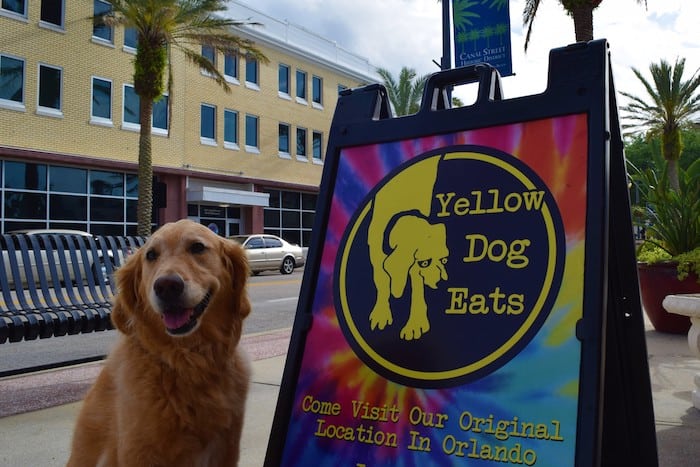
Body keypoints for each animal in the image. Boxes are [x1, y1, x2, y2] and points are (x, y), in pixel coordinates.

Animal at [67, 220, 252, 467]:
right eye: (151, 255)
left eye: (197, 247)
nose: (166, 286)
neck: (189, 361)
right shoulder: (139, 452)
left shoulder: (226, 449)